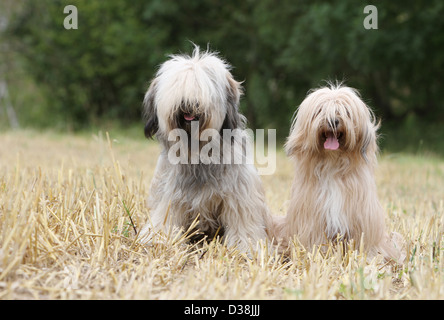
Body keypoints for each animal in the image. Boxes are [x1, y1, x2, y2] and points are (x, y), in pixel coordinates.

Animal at [138, 46, 270, 251]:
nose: (188, 103)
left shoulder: (239, 195)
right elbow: (165, 218)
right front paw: (157, 238)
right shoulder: (171, 194)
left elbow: (243, 223)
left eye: (202, 89)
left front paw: (246, 247)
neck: (197, 150)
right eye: (178, 87)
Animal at [274, 84, 402, 262]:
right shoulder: (313, 218)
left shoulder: (361, 216)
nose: (333, 121)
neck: (332, 165)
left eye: (345, 111)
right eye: (320, 110)